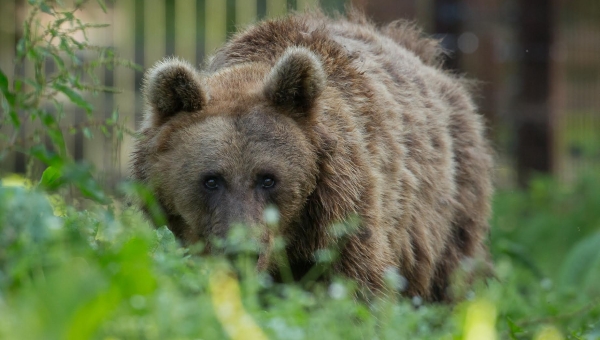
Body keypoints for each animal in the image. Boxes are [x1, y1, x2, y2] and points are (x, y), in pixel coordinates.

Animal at [134, 10, 494, 302]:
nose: (244, 252)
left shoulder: (343, 211)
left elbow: (359, 286)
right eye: (211, 180)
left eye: (268, 178)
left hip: (445, 205)